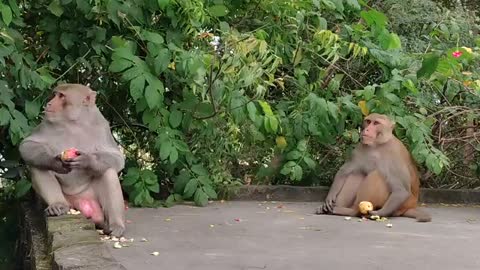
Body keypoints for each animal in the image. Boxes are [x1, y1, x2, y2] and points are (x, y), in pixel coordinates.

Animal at [19, 83, 126, 235]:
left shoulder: (101, 125)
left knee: (107, 170)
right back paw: (57, 205)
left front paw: (87, 161)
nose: (49, 103)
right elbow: (28, 144)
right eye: (55, 94)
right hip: (69, 201)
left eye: (61, 96)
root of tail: (80, 203)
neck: (74, 122)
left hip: (90, 195)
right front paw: (55, 162)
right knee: (38, 165)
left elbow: (117, 157)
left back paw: (116, 225)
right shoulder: (47, 122)